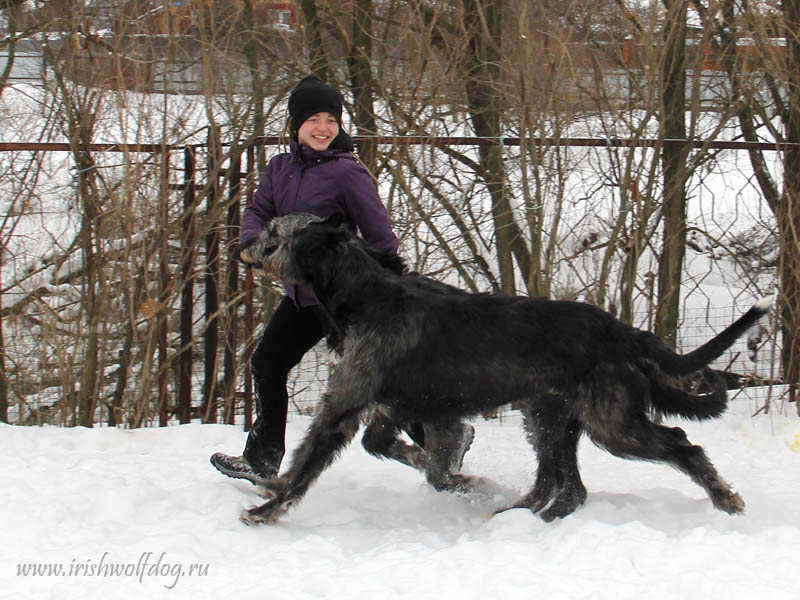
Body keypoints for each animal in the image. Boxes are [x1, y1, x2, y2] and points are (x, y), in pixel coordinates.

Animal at [241, 213, 772, 524]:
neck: (365, 295)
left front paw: (268, 508)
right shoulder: (413, 409)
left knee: (682, 444)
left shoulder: (347, 406)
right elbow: (406, 452)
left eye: (277, 234)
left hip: (610, 422)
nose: (243, 248)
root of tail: (622, 330)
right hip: (551, 418)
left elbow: (308, 462)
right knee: (569, 486)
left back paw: (725, 498)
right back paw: (521, 515)